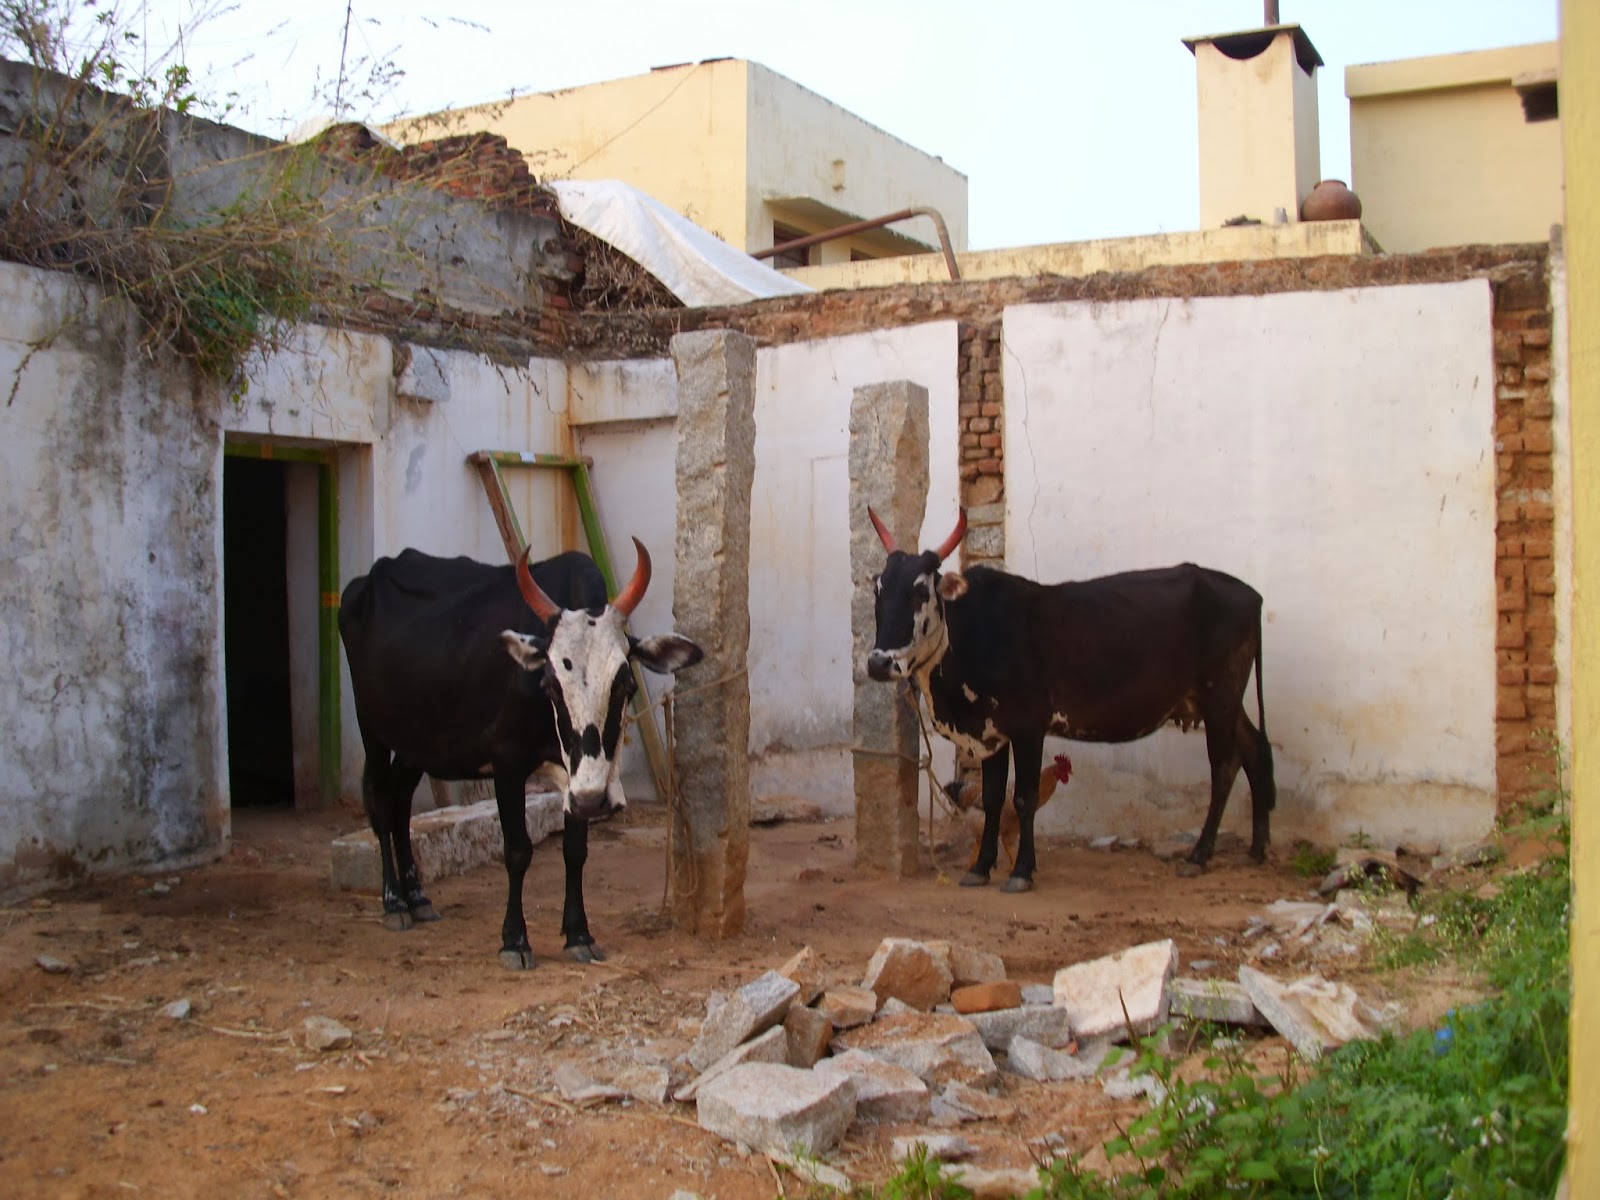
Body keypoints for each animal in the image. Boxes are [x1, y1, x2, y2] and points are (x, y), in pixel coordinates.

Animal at [337, 539, 702, 969]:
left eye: (625, 684)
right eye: (549, 684)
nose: (596, 800)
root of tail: (362, 584)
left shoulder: (576, 782)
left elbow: (575, 851)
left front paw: (578, 933)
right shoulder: (507, 763)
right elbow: (517, 850)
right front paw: (515, 940)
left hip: (417, 744)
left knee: (401, 805)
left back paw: (417, 896)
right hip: (372, 729)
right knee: (380, 802)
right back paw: (394, 902)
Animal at [865, 508, 1274, 893]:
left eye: (920, 591)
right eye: (878, 590)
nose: (879, 663)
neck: (972, 631)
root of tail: (1251, 595)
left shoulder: (1029, 729)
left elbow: (1024, 798)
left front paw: (1021, 871)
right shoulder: (992, 733)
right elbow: (993, 798)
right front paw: (981, 867)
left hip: (1220, 698)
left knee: (1224, 767)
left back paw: (1199, 856)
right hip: (1221, 703)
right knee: (1254, 750)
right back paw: (1256, 848)